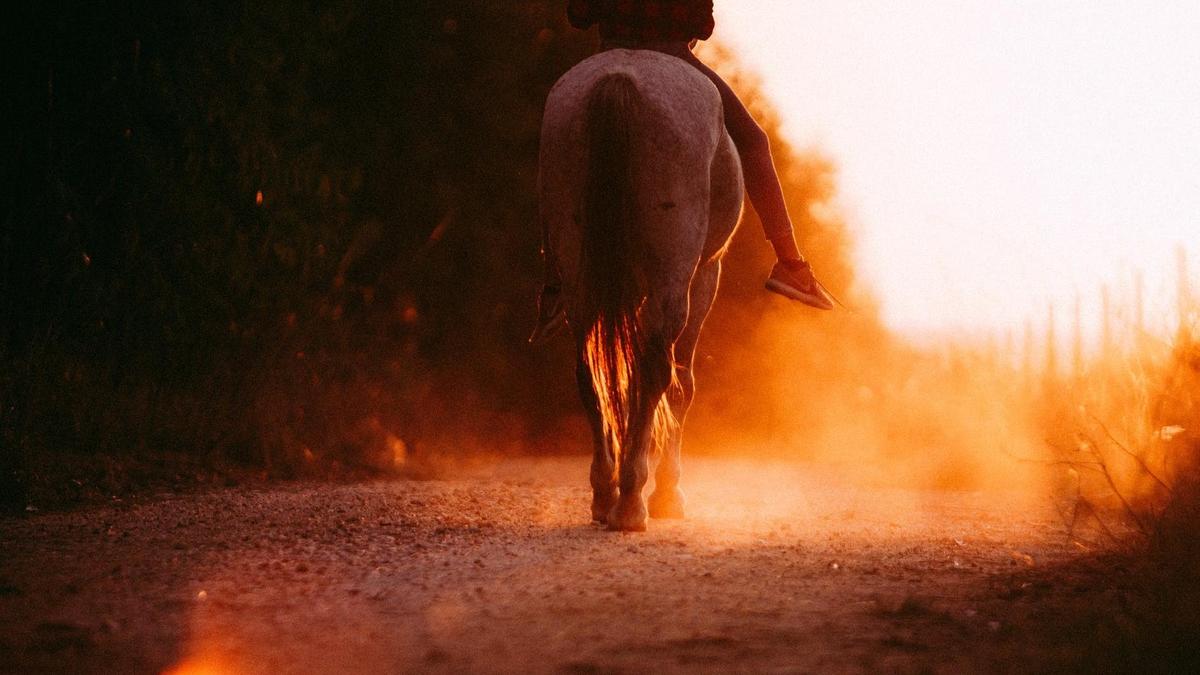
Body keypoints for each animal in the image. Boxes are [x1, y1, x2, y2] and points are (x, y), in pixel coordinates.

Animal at [542, 48, 744, 530]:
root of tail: (619, 80)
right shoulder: (705, 275)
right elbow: (681, 383)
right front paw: (669, 494)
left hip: (580, 271)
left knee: (588, 369)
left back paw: (604, 495)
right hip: (676, 274)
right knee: (657, 371)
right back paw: (633, 501)